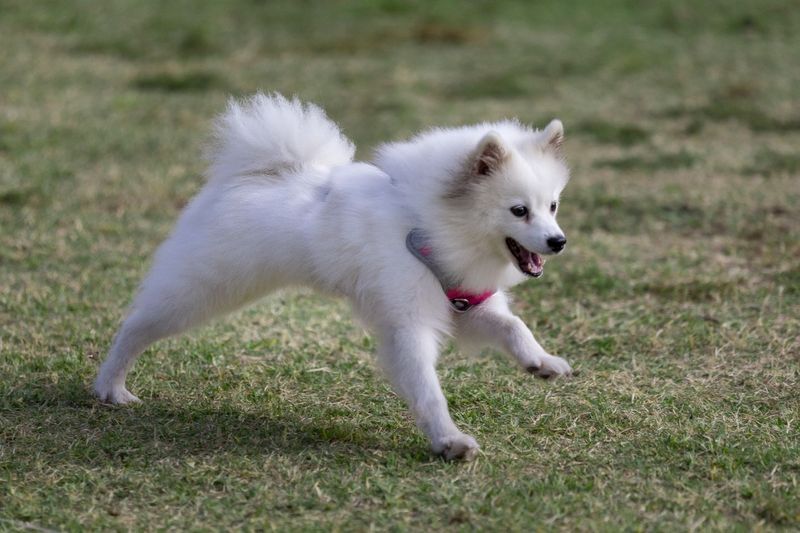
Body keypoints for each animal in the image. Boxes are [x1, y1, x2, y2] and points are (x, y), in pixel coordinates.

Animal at [97, 93, 572, 460]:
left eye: (552, 206)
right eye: (518, 210)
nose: (558, 242)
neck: (426, 224)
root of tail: (250, 175)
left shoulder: (466, 304)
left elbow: (513, 325)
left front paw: (541, 361)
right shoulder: (408, 321)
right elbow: (426, 386)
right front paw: (449, 441)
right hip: (204, 289)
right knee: (134, 327)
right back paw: (110, 387)